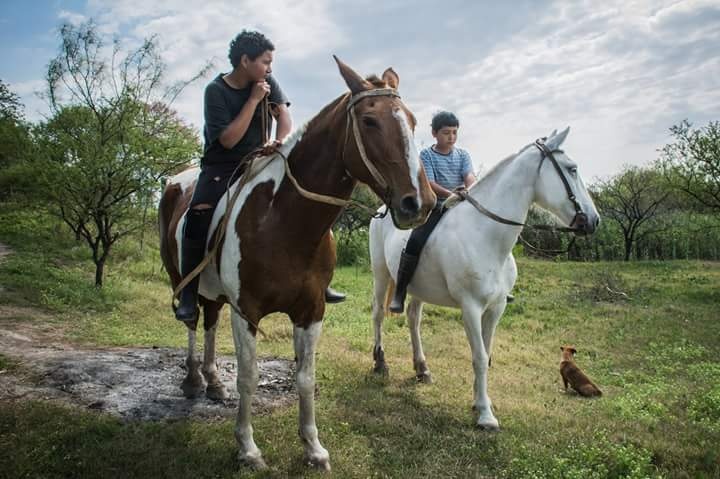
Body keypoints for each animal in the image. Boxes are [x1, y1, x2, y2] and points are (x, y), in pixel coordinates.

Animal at [160, 57, 436, 472]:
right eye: (370, 121)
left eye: (414, 121)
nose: (418, 203)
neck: (283, 220)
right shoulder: (247, 311)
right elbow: (249, 377)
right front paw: (248, 449)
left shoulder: (312, 310)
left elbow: (305, 378)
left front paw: (313, 448)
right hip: (184, 278)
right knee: (193, 322)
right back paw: (194, 380)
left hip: (218, 295)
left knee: (209, 322)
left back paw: (213, 382)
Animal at [368, 128, 600, 432]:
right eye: (572, 169)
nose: (594, 221)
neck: (485, 235)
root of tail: (381, 211)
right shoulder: (471, 308)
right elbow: (478, 357)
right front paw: (485, 416)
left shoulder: (496, 308)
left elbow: (487, 354)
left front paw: (480, 402)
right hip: (381, 273)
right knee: (378, 314)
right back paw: (380, 364)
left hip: (418, 288)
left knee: (413, 319)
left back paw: (422, 369)